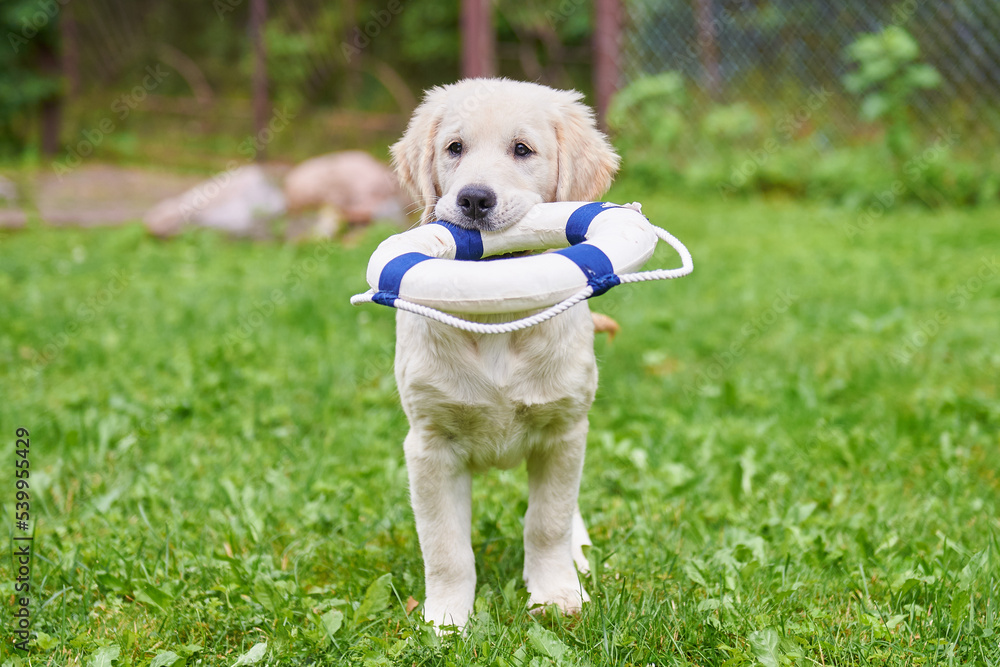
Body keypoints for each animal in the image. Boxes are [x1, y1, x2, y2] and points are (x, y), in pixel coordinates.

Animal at [388, 78, 616, 632]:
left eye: (522, 150)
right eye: (454, 148)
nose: (473, 198)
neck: (495, 309)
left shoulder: (563, 432)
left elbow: (548, 522)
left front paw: (556, 595)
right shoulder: (430, 445)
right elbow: (445, 546)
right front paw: (447, 619)